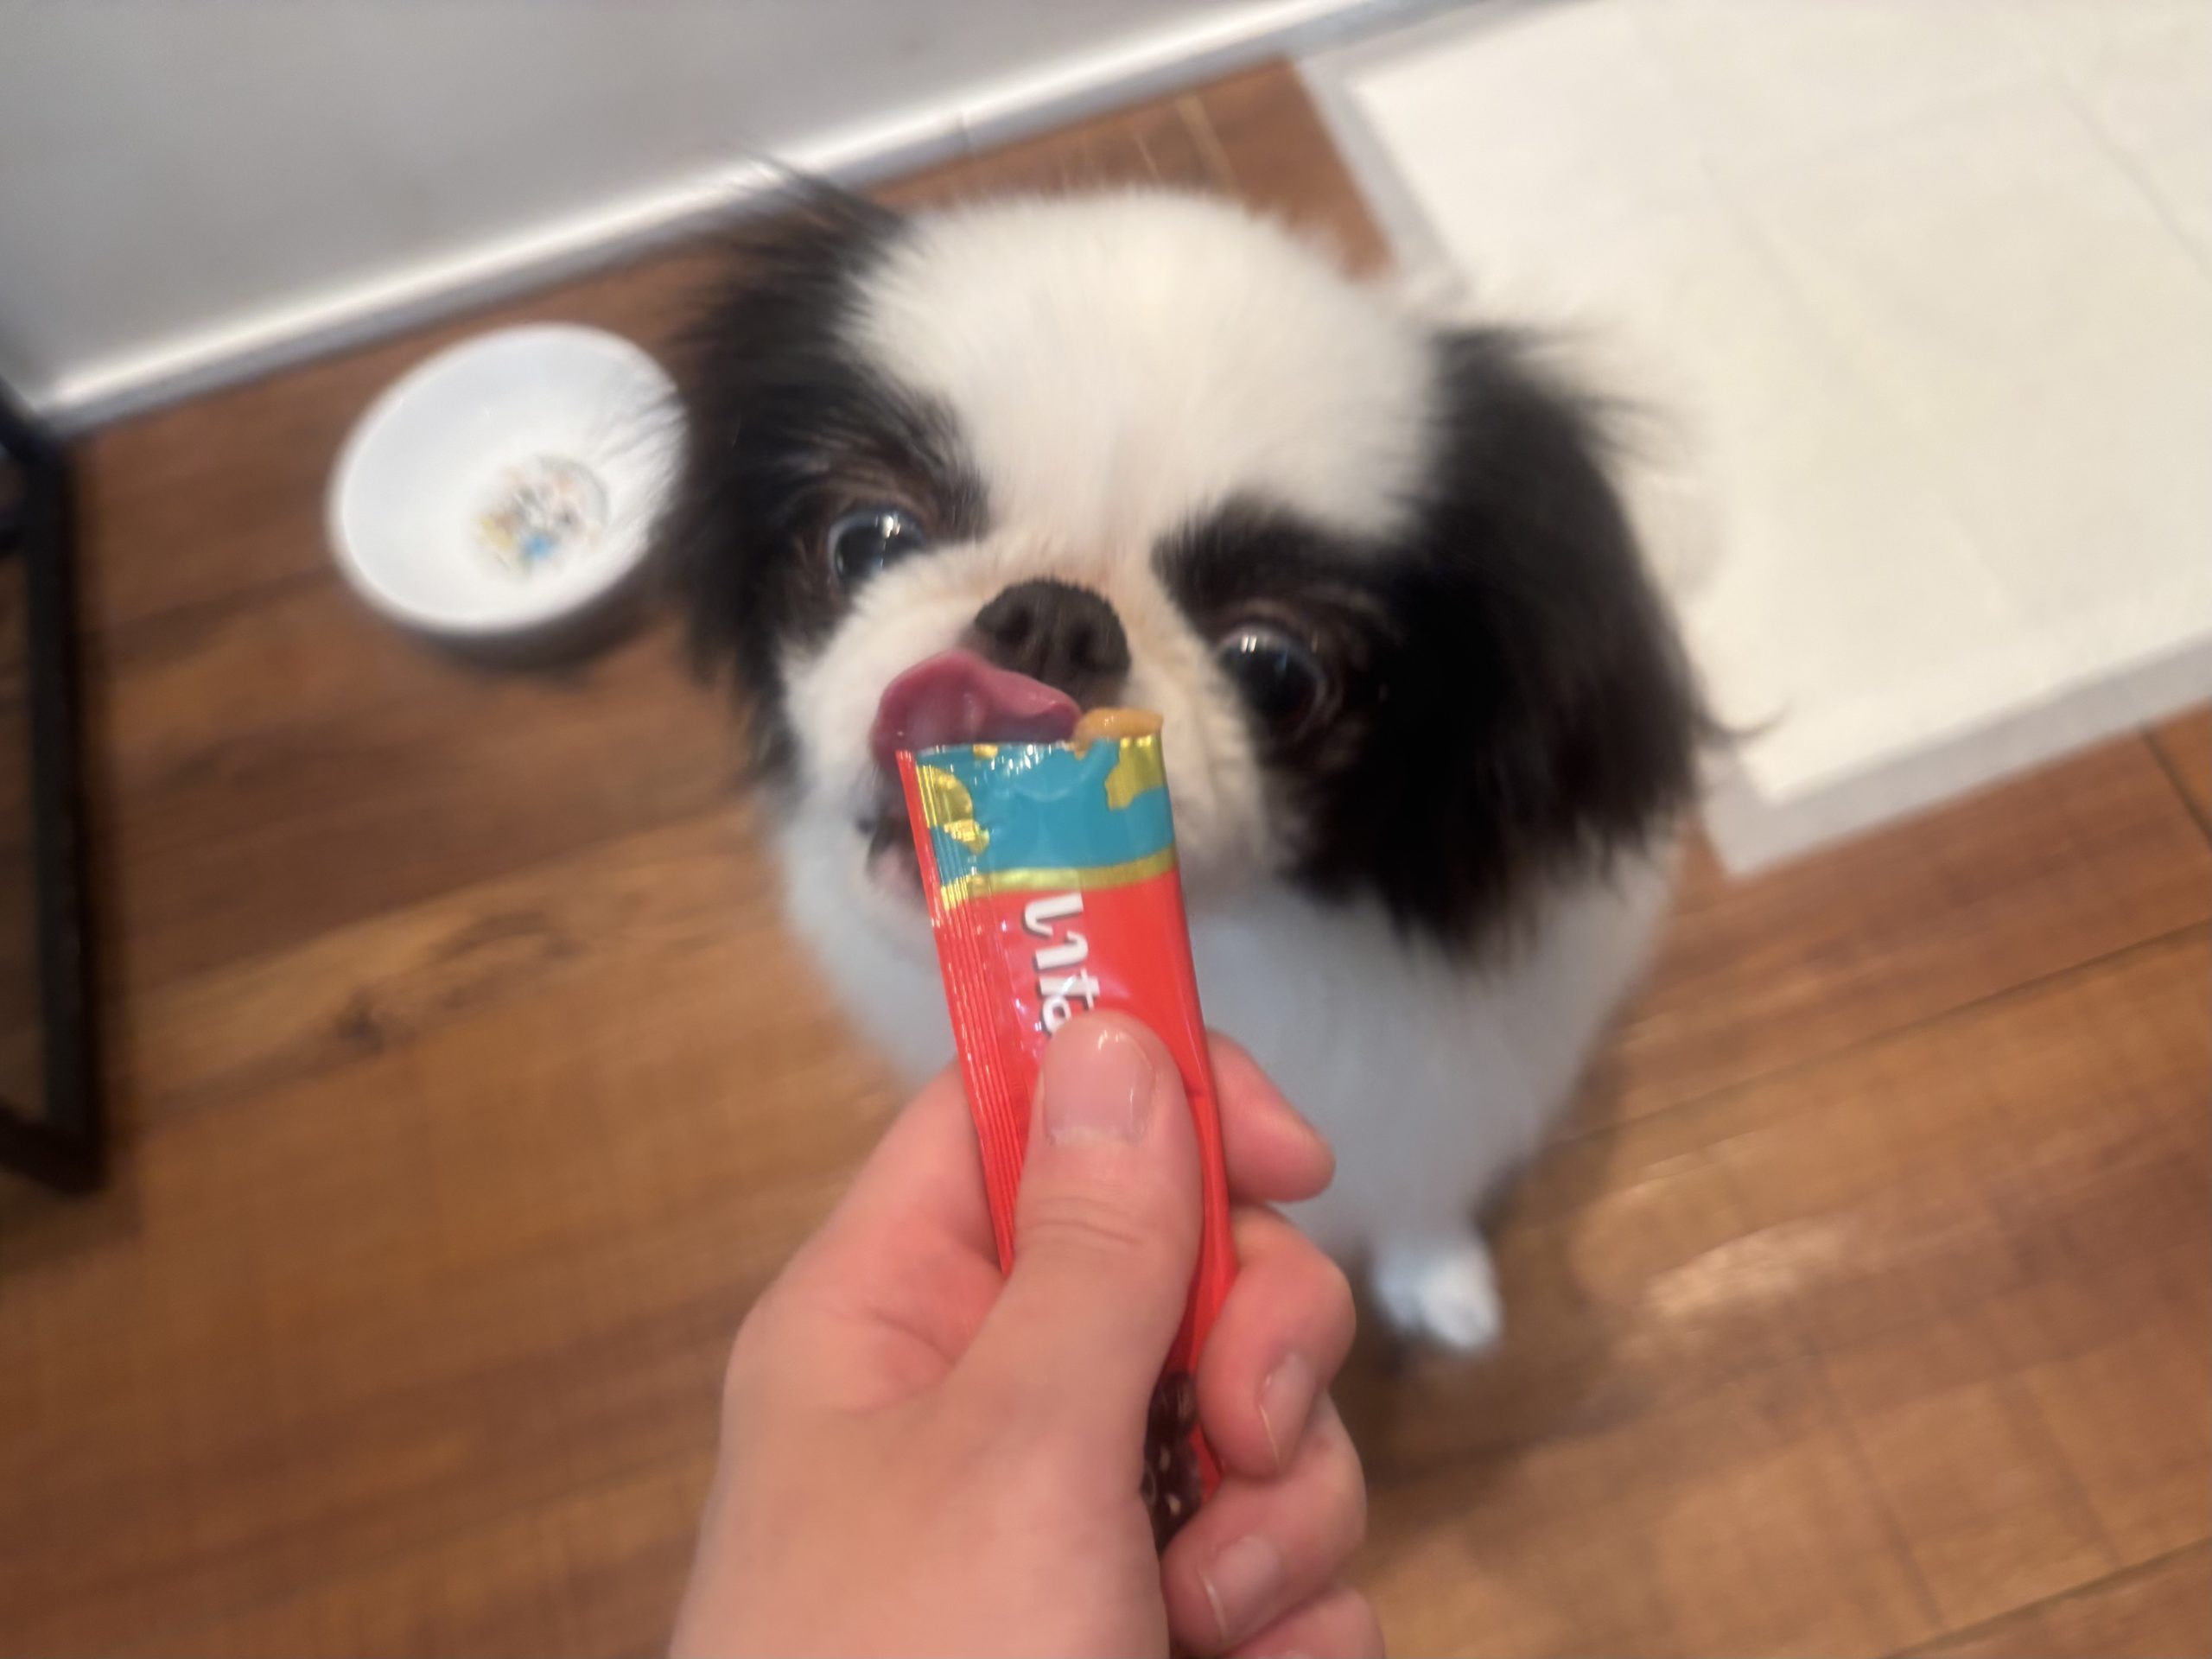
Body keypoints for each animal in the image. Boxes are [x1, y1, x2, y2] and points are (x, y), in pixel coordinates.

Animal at [660, 187, 1704, 1350]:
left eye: (1276, 671)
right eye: (868, 540)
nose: (1052, 616)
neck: (1229, 952)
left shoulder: (1438, 1106)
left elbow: (1423, 1197)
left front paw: (1444, 1288)